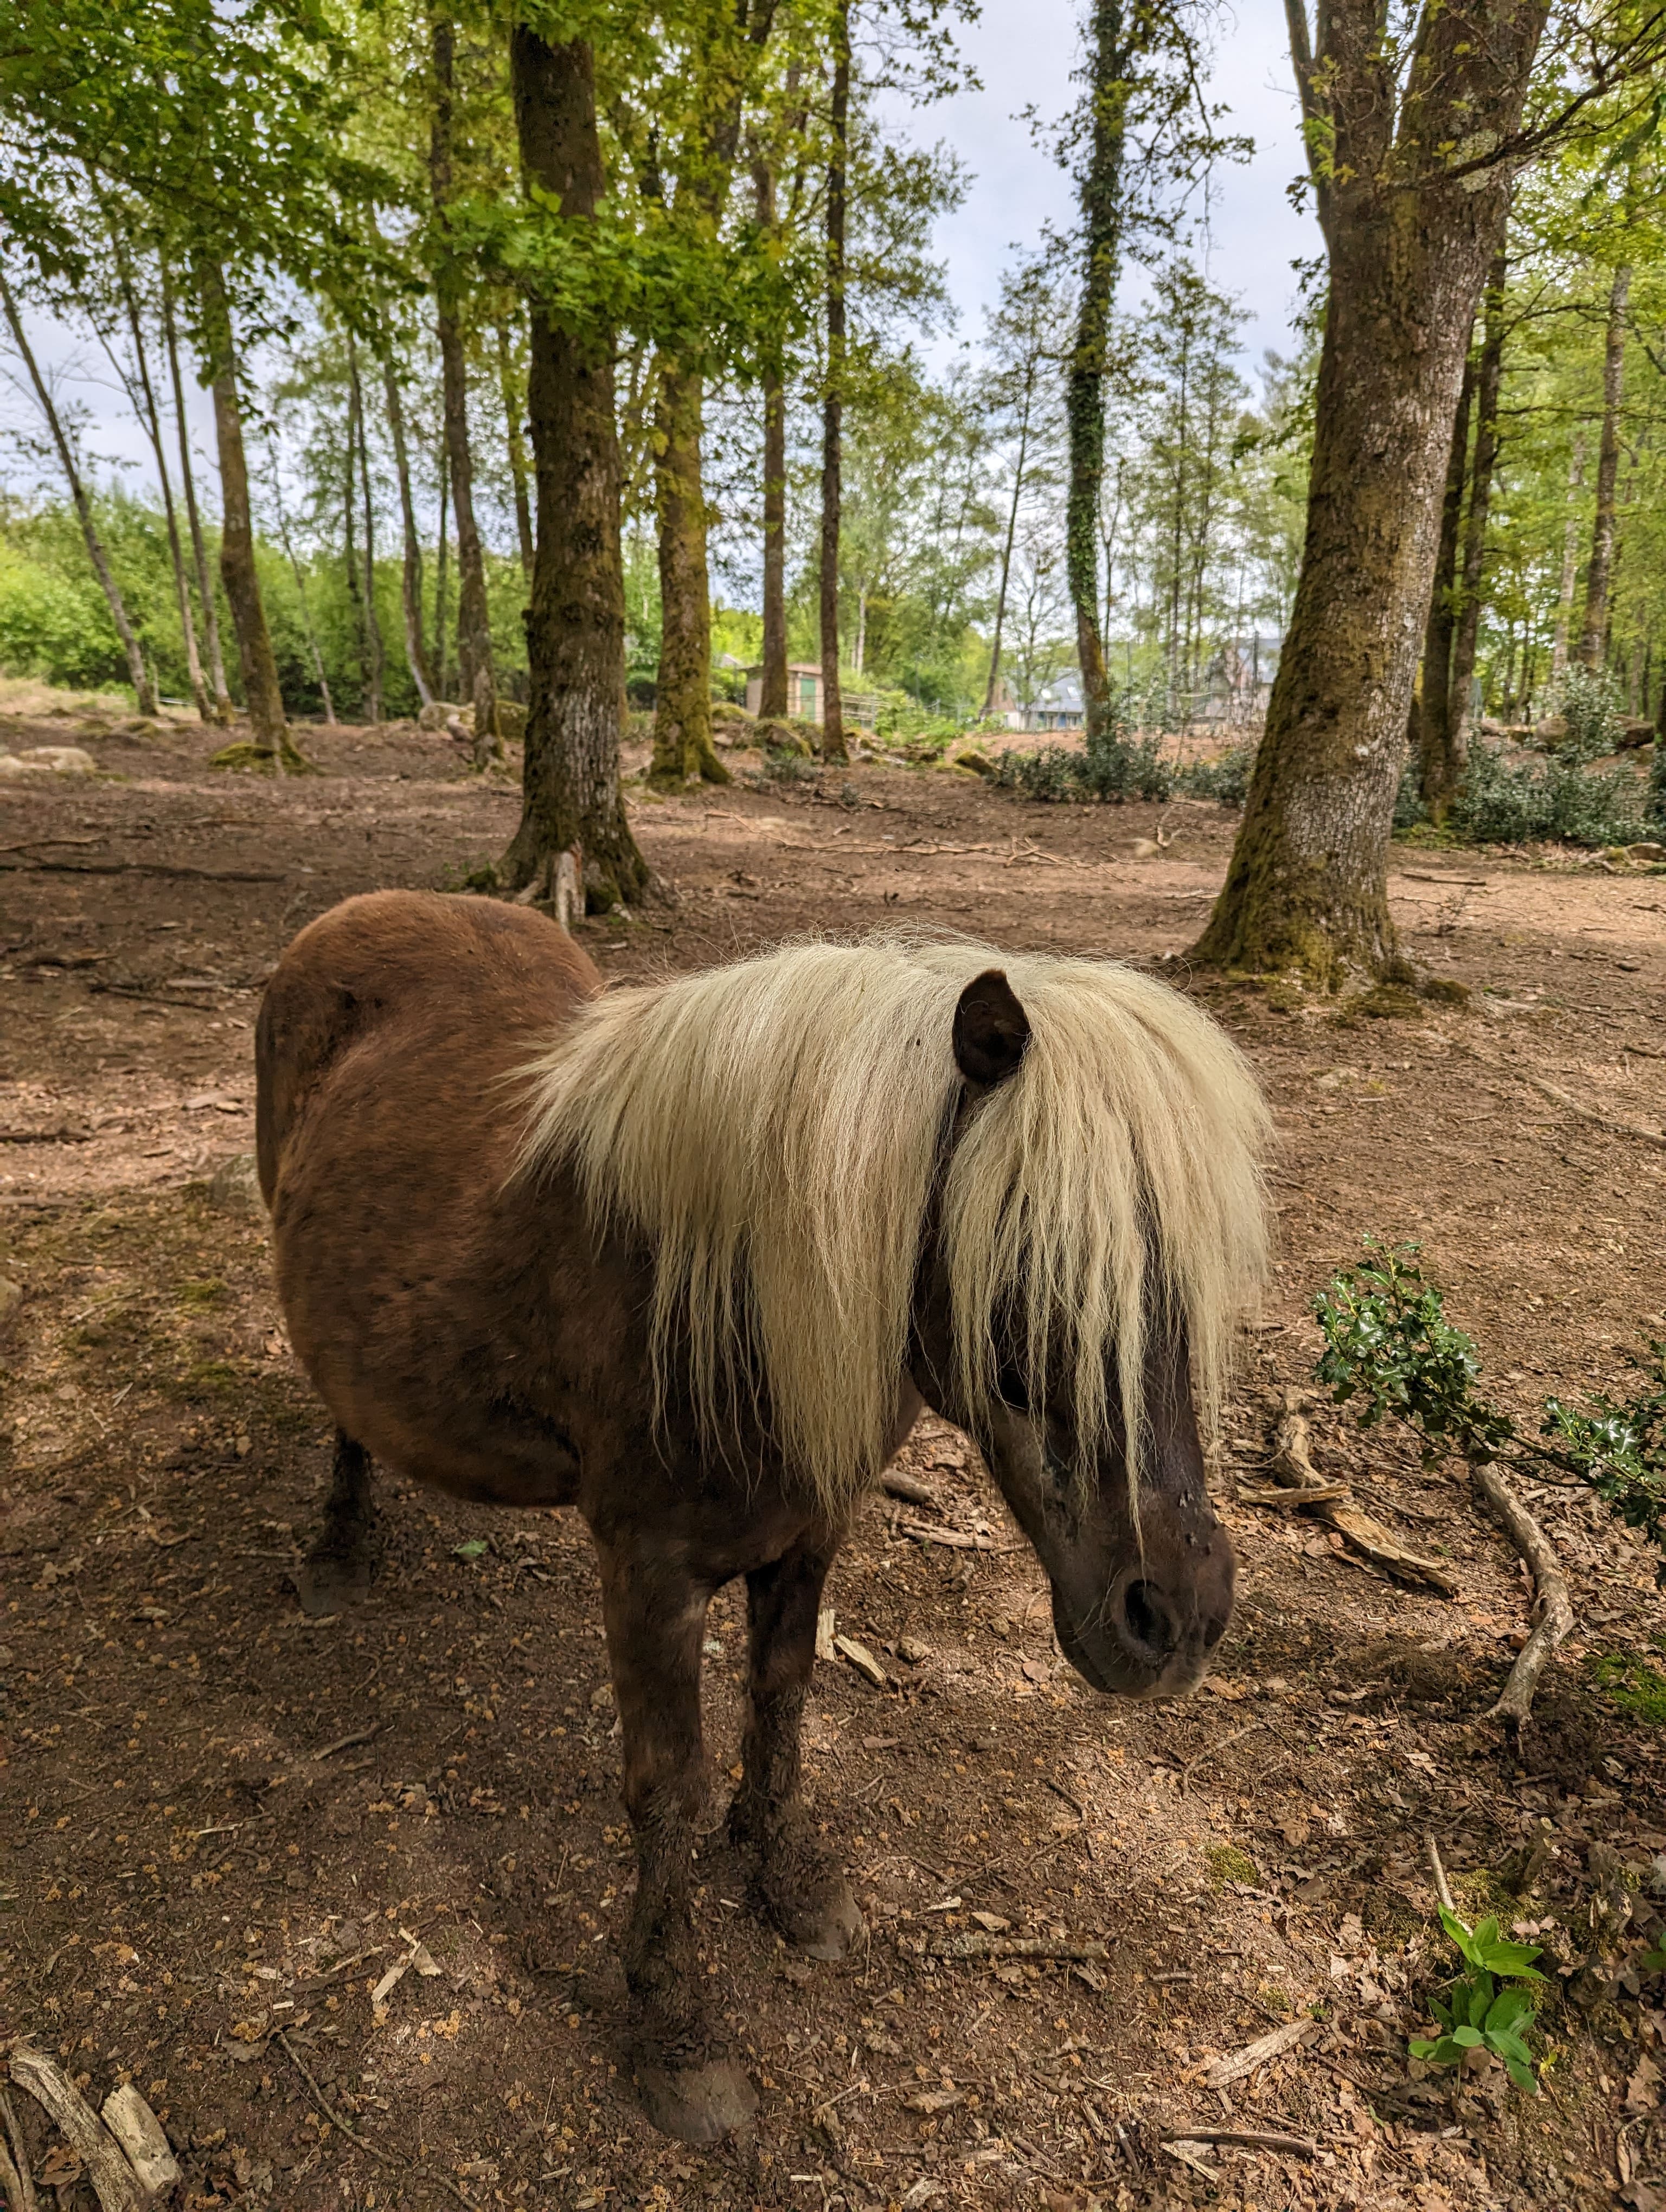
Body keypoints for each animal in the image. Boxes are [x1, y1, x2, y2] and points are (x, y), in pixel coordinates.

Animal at [255, 890, 1271, 2143]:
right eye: (1031, 1273)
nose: (1176, 1619)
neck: (720, 1287)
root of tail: (357, 914)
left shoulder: (806, 1539)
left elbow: (781, 1706)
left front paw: (780, 1881)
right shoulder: (648, 1574)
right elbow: (666, 1791)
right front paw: (674, 2030)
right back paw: (338, 1552)